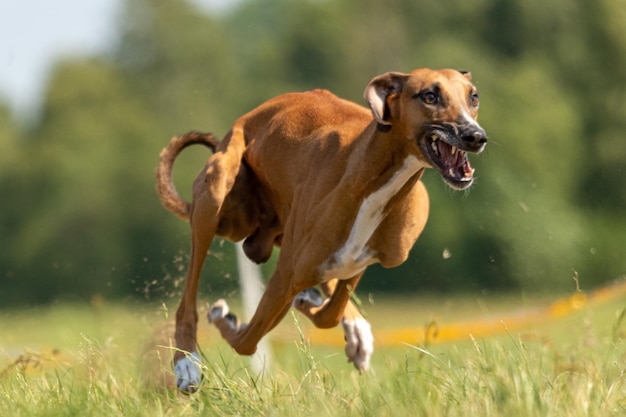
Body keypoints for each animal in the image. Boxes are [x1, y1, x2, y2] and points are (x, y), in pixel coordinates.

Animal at [156, 67, 488, 390]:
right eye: (430, 95)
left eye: (473, 97)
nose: (476, 136)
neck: (374, 175)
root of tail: (243, 121)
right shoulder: (286, 276)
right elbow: (246, 341)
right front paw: (226, 322)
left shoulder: (360, 258)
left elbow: (330, 312)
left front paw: (314, 305)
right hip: (216, 191)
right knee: (188, 297)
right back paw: (187, 362)